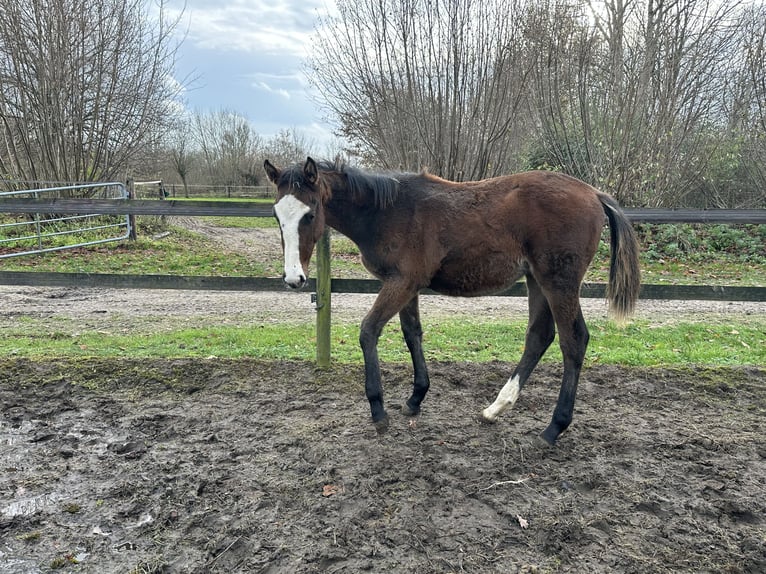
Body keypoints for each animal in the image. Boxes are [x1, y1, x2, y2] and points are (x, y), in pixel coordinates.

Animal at [264, 157, 640, 445]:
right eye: (277, 216)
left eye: (310, 213)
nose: (294, 279)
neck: (387, 211)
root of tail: (593, 193)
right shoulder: (407, 285)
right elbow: (412, 333)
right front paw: (415, 398)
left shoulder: (401, 282)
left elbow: (368, 331)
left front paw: (378, 410)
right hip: (537, 279)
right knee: (539, 335)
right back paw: (495, 408)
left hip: (559, 281)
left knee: (573, 340)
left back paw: (552, 429)